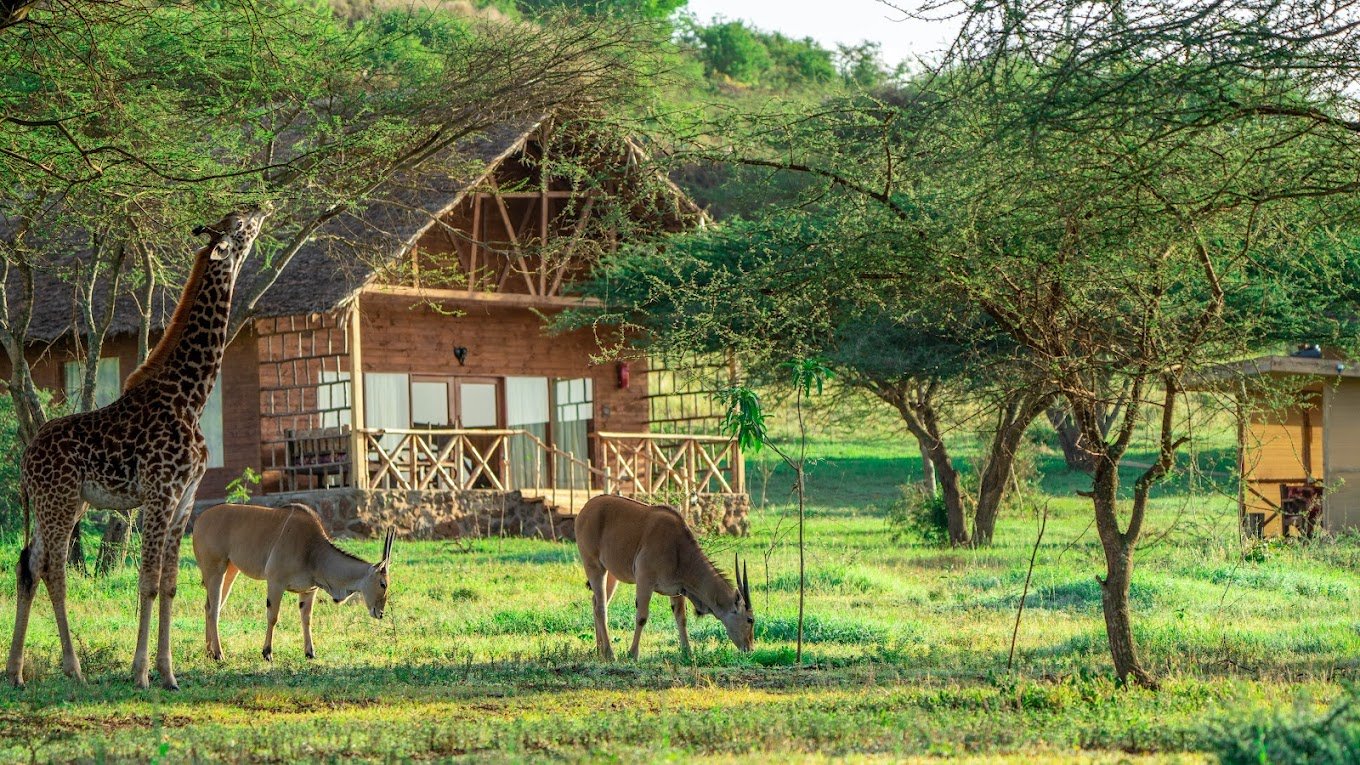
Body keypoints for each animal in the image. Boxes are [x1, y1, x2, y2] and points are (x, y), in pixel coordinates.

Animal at [7, 205, 266, 688]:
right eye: (239, 224)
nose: (262, 207)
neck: (192, 396)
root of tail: (26, 460)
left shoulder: (185, 499)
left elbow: (169, 584)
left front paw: (168, 673)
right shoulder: (160, 493)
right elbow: (146, 582)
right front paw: (143, 673)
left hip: (68, 504)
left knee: (28, 565)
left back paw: (15, 672)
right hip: (59, 501)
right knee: (54, 569)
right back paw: (73, 669)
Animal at [191, 503, 397, 658]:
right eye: (383, 584)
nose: (380, 613)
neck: (312, 549)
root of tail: (200, 520)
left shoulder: (309, 591)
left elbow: (307, 619)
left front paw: (310, 652)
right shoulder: (275, 582)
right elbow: (273, 617)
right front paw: (267, 652)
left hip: (230, 572)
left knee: (210, 607)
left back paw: (209, 651)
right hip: (215, 571)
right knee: (214, 610)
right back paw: (219, 654)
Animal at [568, 490, 750, 658]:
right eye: (750, 619)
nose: (749, 648)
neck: (679, 549)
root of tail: (586, 508)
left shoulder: (677, 589)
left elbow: (681, 618)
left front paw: (688, 652)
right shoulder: (644, 581)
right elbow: (642, 617)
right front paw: (633, 654)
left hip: (611, 574)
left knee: (597, 602)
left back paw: (600, 650)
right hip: (594, 566)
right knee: (601, 608)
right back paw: (609, 653)